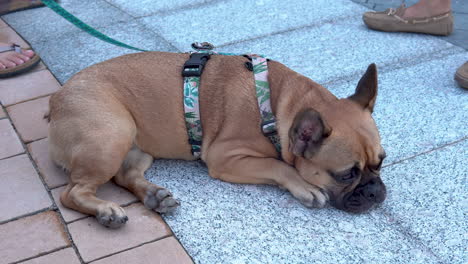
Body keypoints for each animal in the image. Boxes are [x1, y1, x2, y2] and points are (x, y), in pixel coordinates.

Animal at [47, 50, 386, 228]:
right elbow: (279, 166)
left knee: (125, 175)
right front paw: (304, 185)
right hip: (110, 137)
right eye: (346, 175)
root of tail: (55, 100)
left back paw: (154, 196)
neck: (277, 108)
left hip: (135, 147)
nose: (376, 191)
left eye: (381, 162)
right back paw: (105, 210)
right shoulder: (226, 157)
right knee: (72, 192)